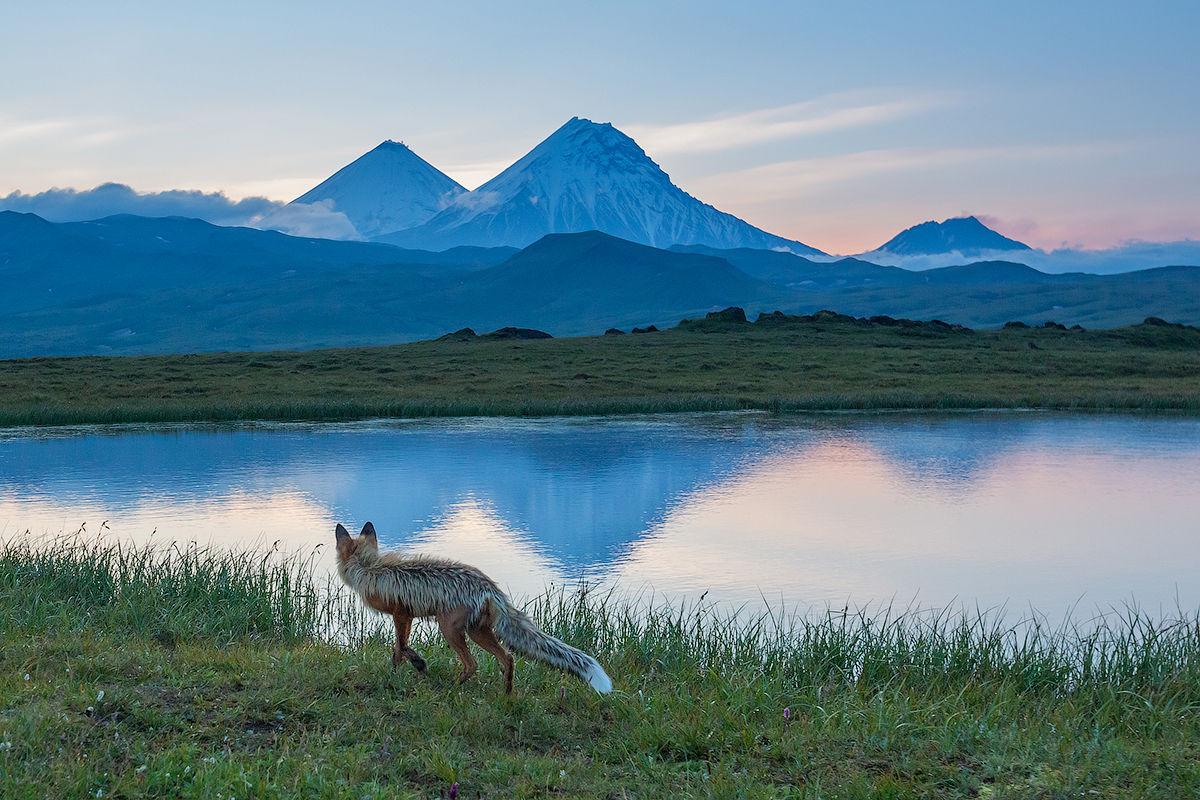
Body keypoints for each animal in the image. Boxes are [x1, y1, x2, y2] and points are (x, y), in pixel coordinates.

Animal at [336, 520, 609, 695]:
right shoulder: (406, 617)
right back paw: (506, 694)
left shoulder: (401, 614)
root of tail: (491, 587)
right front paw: (394, 674)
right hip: (478, 632)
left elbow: (402, 647)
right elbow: (396, 651)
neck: (371, 568)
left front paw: (419, 664)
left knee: (473, 664)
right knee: (507, 658)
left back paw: (450, 689)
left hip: (450, 629)